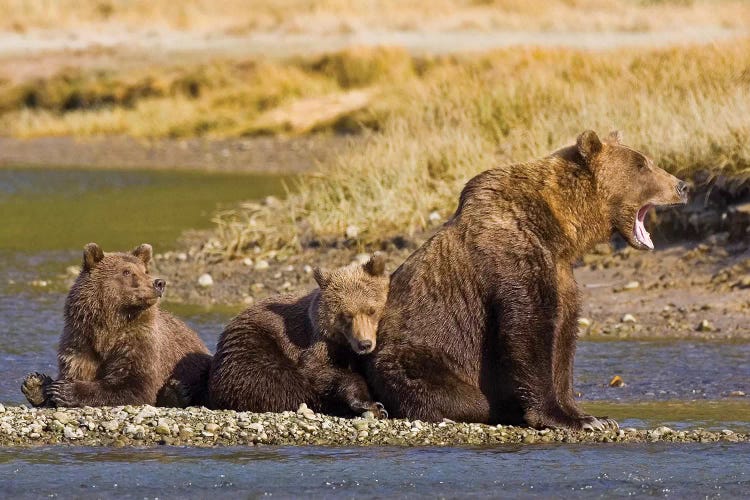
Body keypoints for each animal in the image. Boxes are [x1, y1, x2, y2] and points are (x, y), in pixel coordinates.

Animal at [22, 244, 210, 408]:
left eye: (145, 270)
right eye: (127, 271)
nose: (159, 283)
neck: (109, 325)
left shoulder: (139, 343)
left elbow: (133, 385)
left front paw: (65, 390)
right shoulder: (80, 340)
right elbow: (75, 368)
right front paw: (36, 384)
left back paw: (175, 392)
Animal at [209, 252, 390, 416]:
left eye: (371, 310)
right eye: (346, 315)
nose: (364, 344)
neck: (343, 343)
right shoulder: (314, 341)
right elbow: (314, 369)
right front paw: (372, 405)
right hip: (253, 342)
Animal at [368, 131, 692, 432]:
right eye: (642, 165)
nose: (682, 186)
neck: (558, 231)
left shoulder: (562, 275)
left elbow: (563, 338)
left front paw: (591, 416)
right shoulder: (514, 260)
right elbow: (527, 331)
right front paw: (567, 418)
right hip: (418, 356)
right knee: (454, 394)